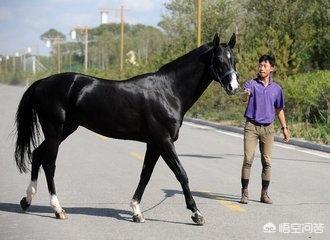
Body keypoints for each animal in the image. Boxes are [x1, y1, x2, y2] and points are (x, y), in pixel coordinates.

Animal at [14, 33, 240, 225]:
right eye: (219, 61)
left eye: (234, 60)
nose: (234, 87)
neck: (168, 91)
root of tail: (42, 83)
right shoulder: (164, 141)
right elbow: (181, 174)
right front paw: (196, 213)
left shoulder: (154, 144)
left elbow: (145, 175)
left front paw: (136, 211)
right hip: (55, 132)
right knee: (49, 164)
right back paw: (58, 209)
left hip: (63, 131)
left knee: (37, 154)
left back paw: (27, 200)